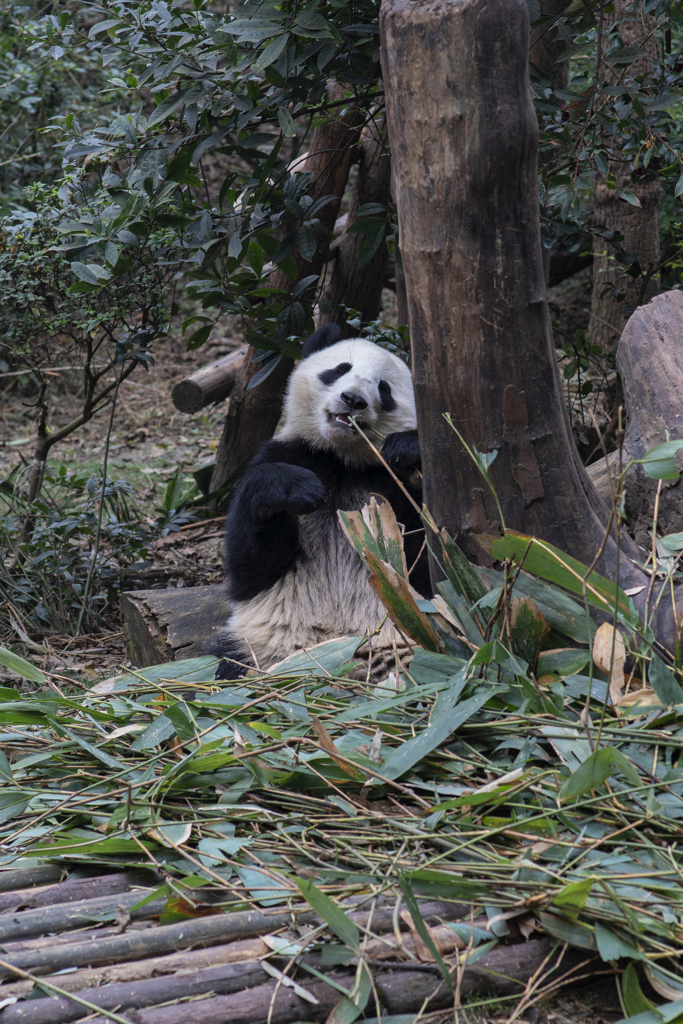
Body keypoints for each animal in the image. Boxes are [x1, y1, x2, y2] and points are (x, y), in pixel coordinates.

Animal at [210, 325, 430, 679]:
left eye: (384, 389)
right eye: (340, 369)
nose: (353, 399)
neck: (340, 461)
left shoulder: (386, 485)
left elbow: (421, 567)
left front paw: (406, 448)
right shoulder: (287, 453)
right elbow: (251, 566)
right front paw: (297, 488)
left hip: (402, 644)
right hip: (258, 646)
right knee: (228, 663)